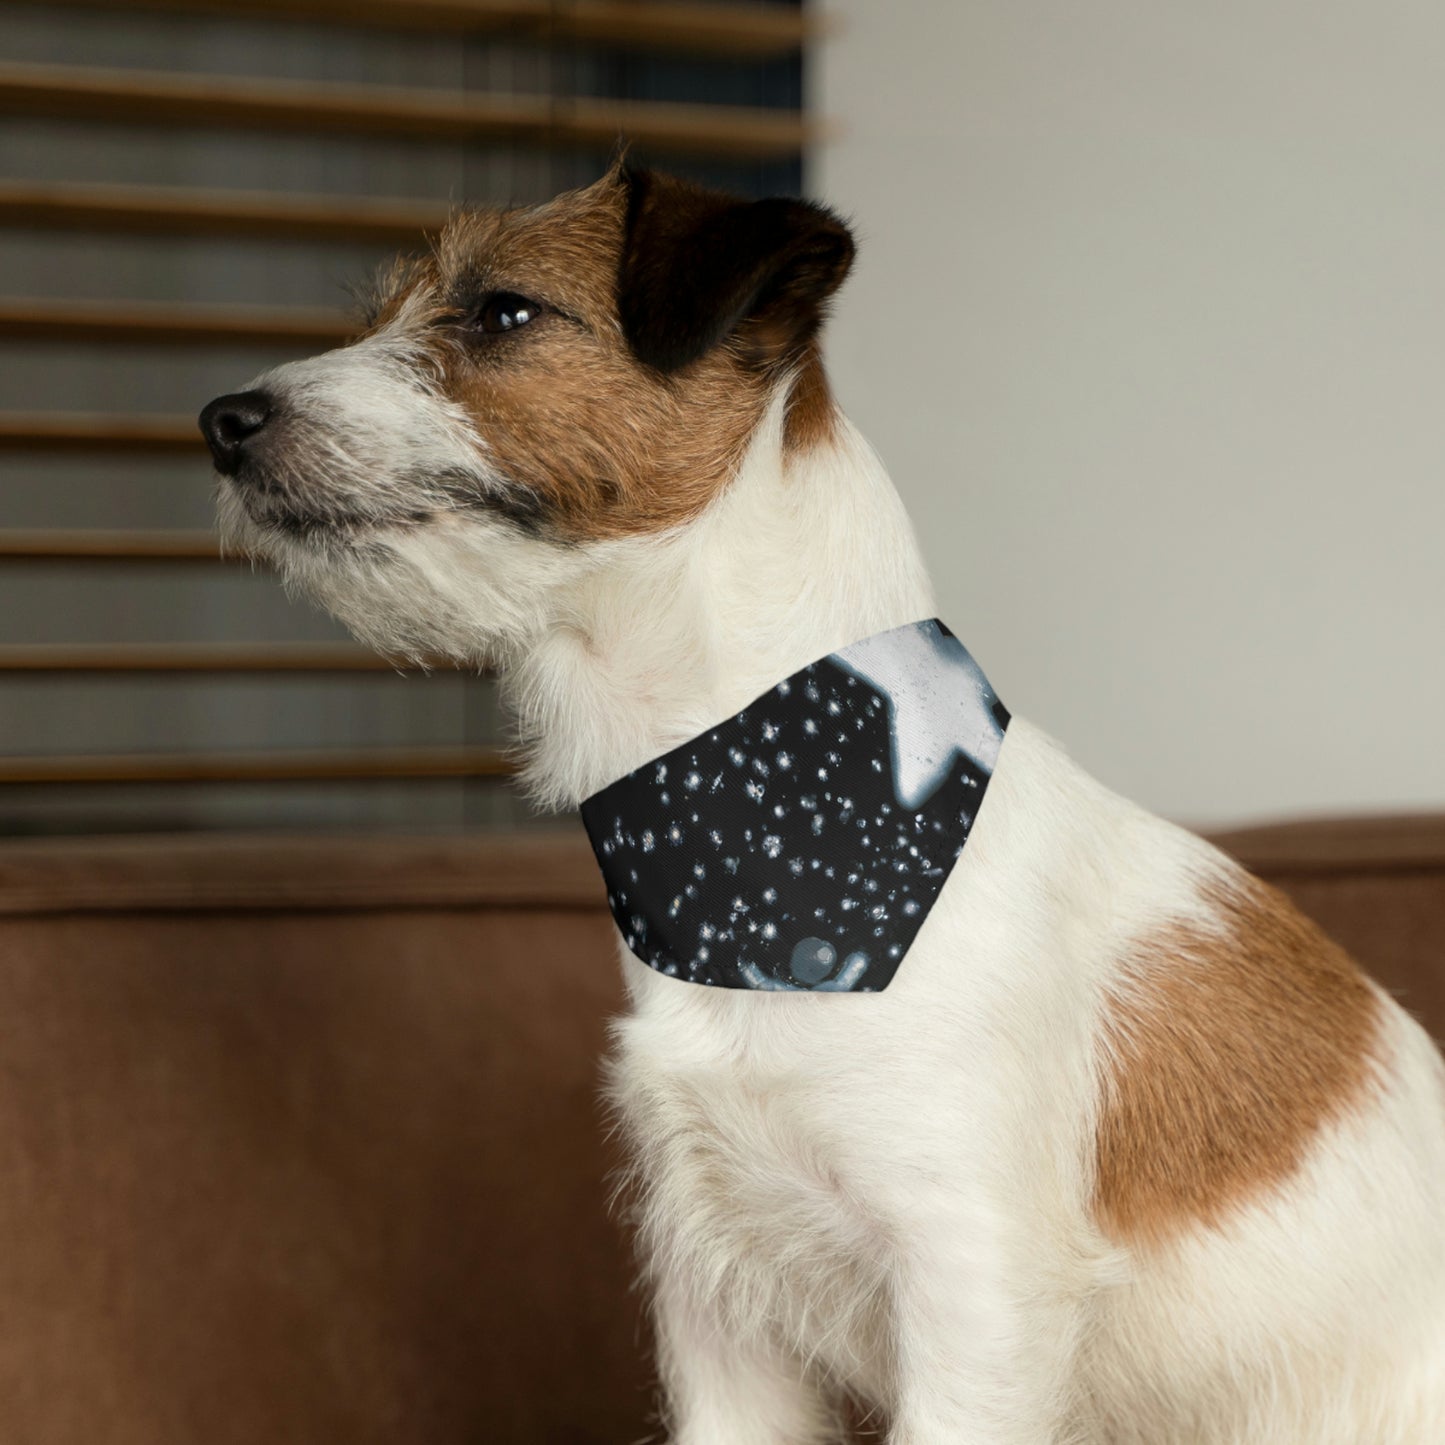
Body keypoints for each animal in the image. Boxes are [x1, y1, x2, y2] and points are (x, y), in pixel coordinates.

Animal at [200, 164, 1445, 1439]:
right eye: (381, 314)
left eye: (502, 311)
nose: (221, 421)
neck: (753, 828)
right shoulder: (717, 1306)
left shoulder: (972, 1293)